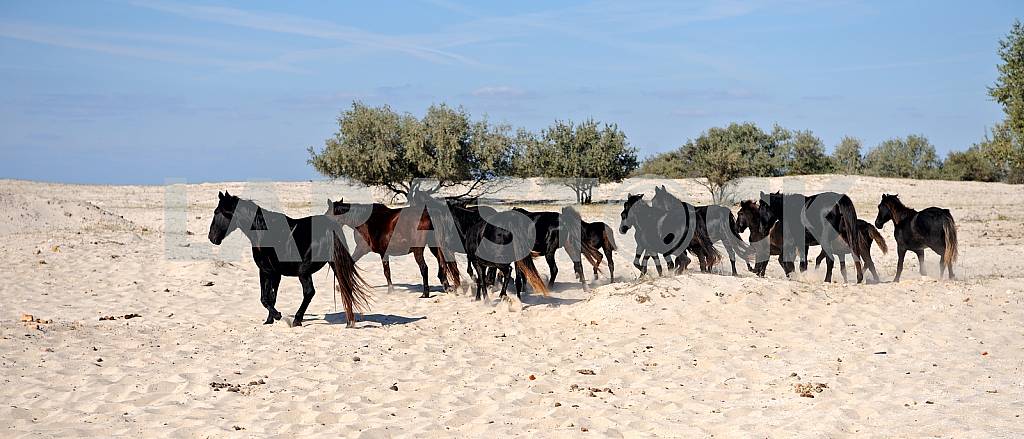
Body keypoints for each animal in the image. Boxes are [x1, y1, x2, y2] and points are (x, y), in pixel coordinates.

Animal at [208, 191, 370, 327]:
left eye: (216, 212)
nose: (211, 238)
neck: (263, 232)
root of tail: (329, 228)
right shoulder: (276, 274)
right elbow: (272, 296)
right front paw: (269, 320)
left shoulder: (266, 271)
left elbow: (264, 298)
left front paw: (278, 316)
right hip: (334, 265)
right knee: (346, 287)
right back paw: (349, 322)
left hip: (304, 272)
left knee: (309, 292)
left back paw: (297, 320)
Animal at [326, 198, 459, 298]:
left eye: (327, 213)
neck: (367, 222)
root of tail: (428, 214)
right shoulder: (379, 252)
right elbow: (386, 271)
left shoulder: (364, 250)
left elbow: (384, 271)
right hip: (435, 247)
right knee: (442, 264)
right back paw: (447, 288)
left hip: (418, 250)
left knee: (424, 268)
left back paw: (425, 294)